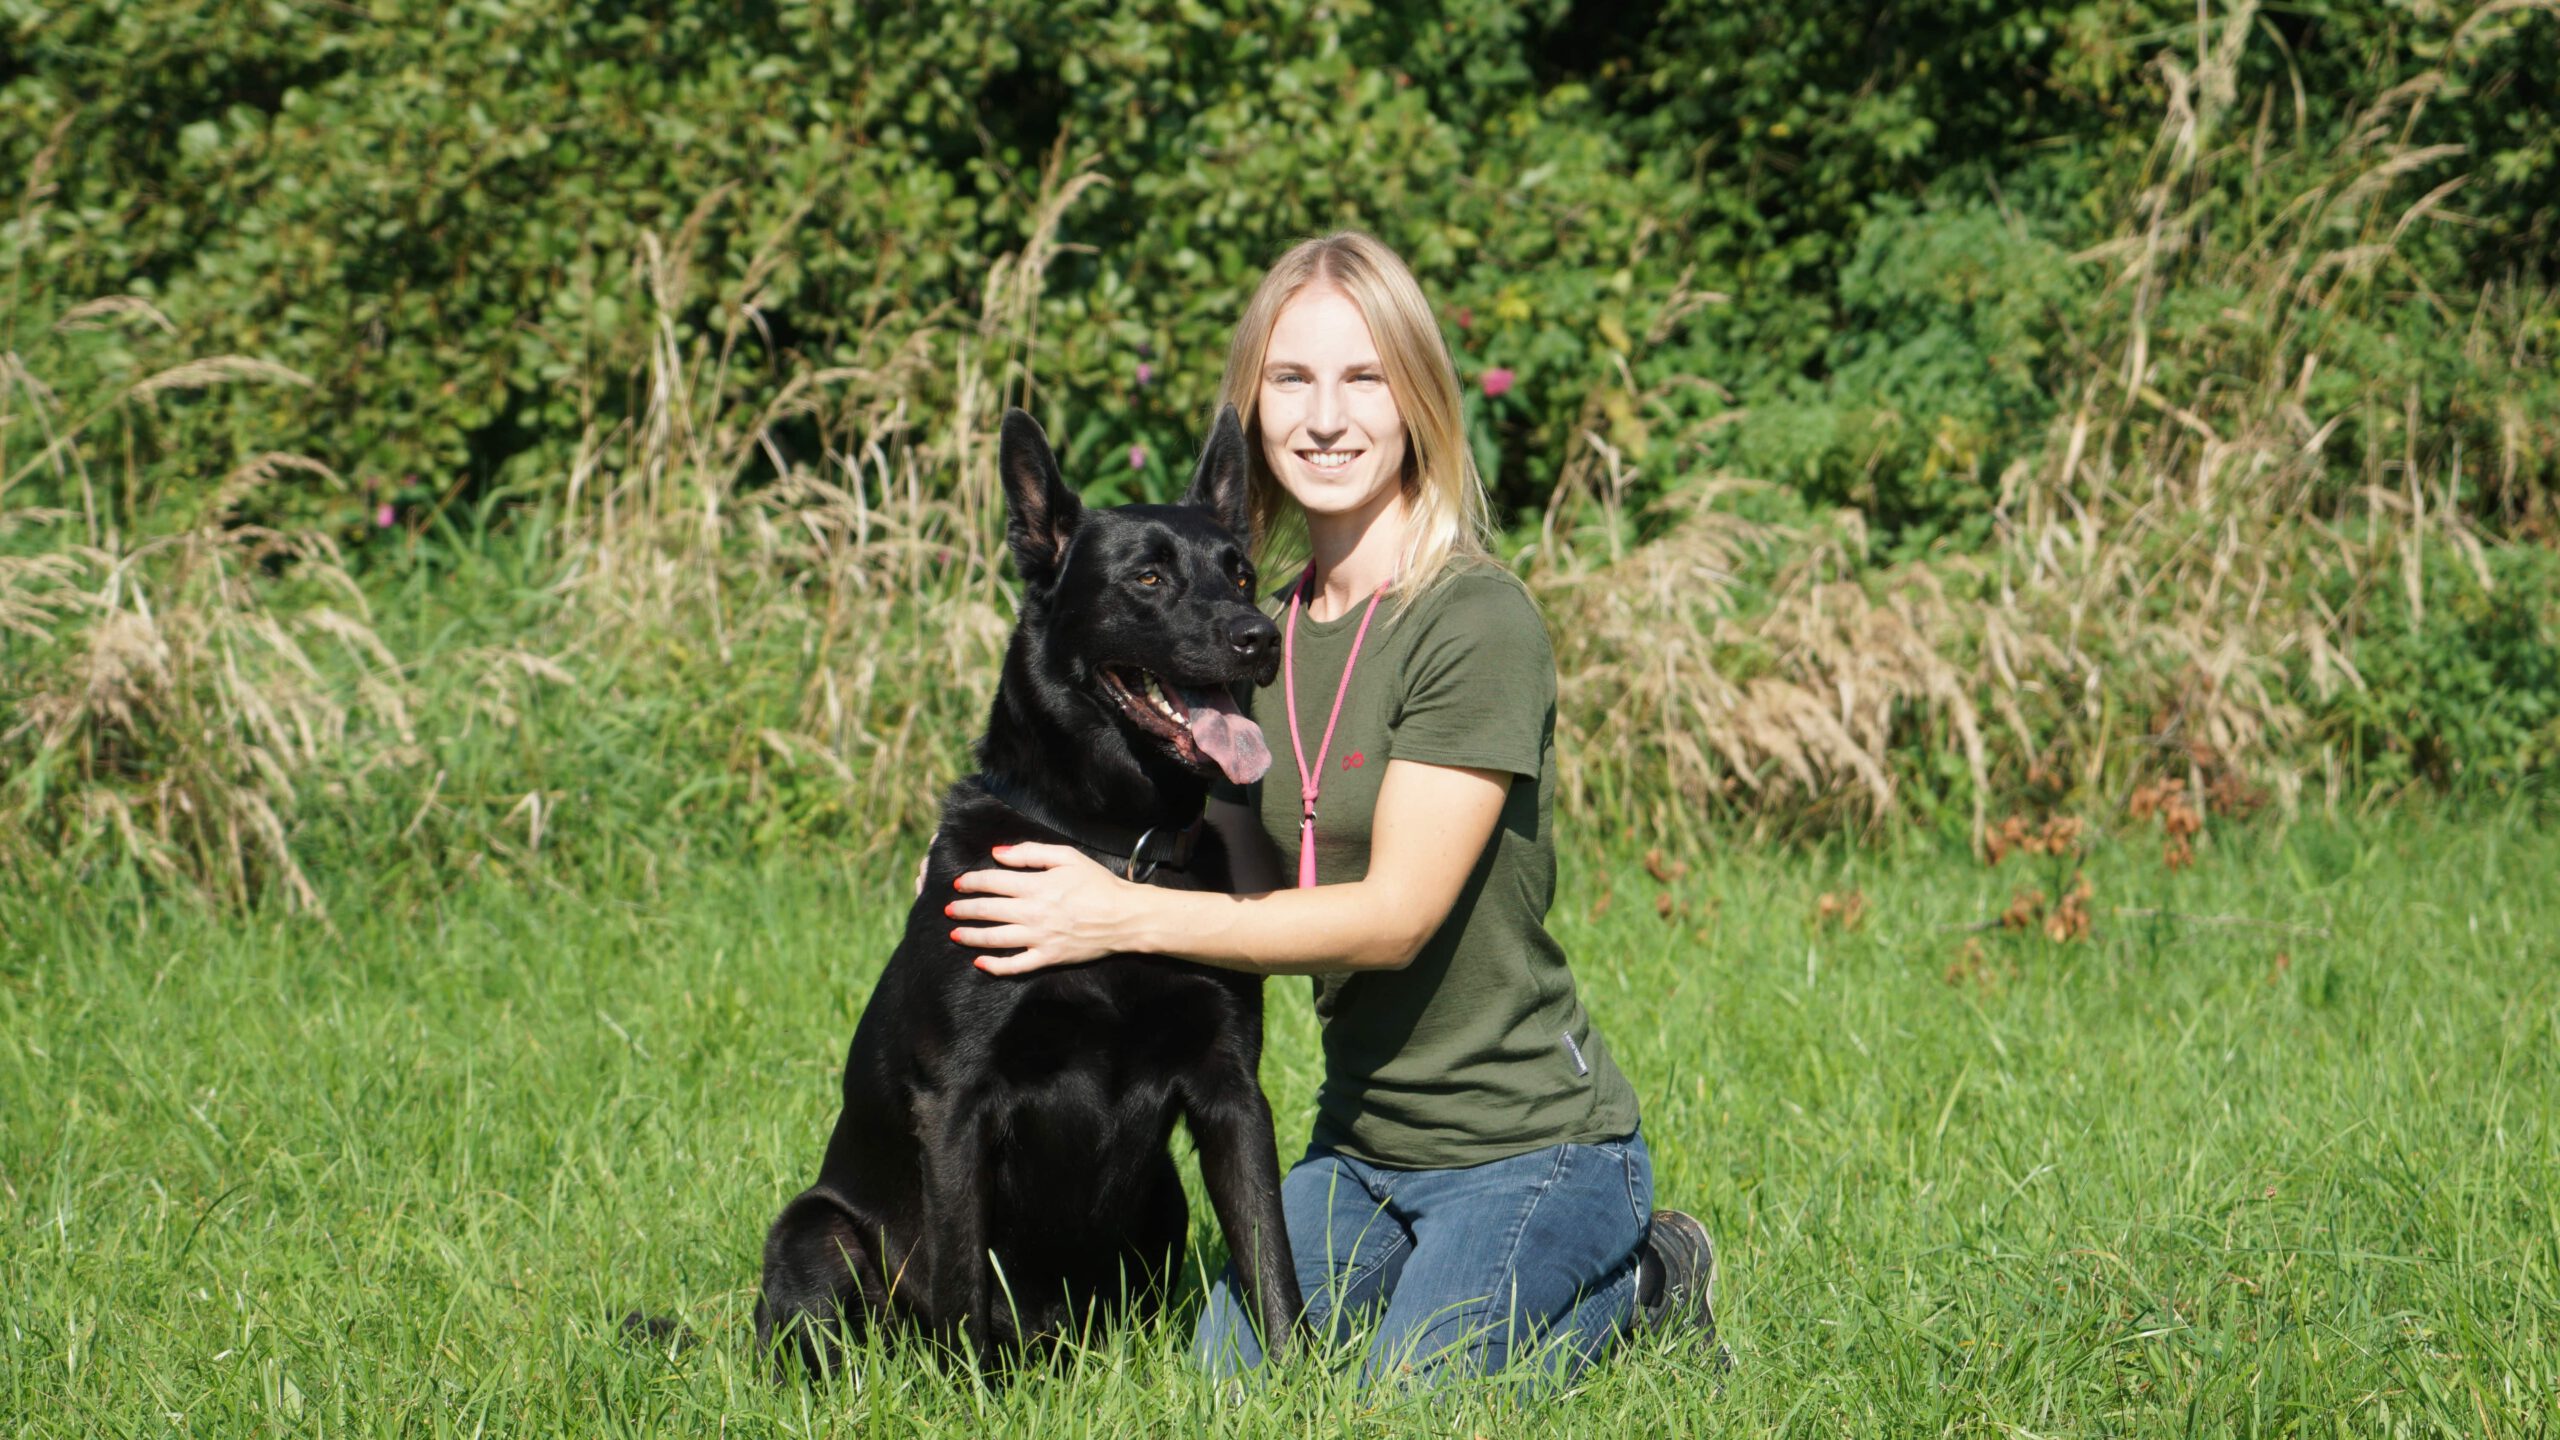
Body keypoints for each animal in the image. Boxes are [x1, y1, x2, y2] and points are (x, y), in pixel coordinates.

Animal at [747, 399, 1300, 1363]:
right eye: (1147, 578)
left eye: (1241, 573)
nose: (1257, 637)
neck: (1116, 850)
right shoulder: (957, 1103)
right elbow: (963, 1278)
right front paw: (972, 1384)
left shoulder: (1232, 1089)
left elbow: (1270, 1254)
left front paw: (1302, 1376)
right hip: (816, 1233)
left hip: (1161, 1195)